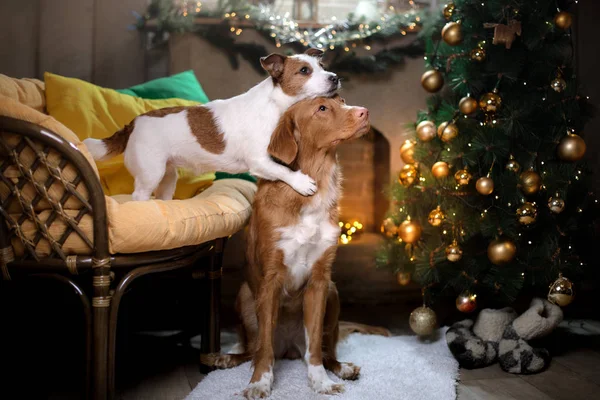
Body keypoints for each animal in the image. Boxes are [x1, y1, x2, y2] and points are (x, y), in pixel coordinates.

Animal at [82, 48, 340, 202]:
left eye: (322, 66)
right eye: (304, 71)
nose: (335, 77)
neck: (274, 104)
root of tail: (134, 122)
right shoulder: (259, 161)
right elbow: (284, 171)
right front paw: (301, 182)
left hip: (167, 176)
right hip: (150, 173)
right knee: (139, 195)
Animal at [206, 95, 390, 398]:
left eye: (342, 100)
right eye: (322, 109)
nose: (364, 112)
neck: (314, 186)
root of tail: (289, 348)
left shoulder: (319, 281)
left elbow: (314, 347)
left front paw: (320, 382)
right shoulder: (270, 279)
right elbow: (264, 348)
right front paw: (260, 382)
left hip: (333, 292)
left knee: (325, 350)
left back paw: (343, 367)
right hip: (244, 295)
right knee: (252, 349)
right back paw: (224, 358)